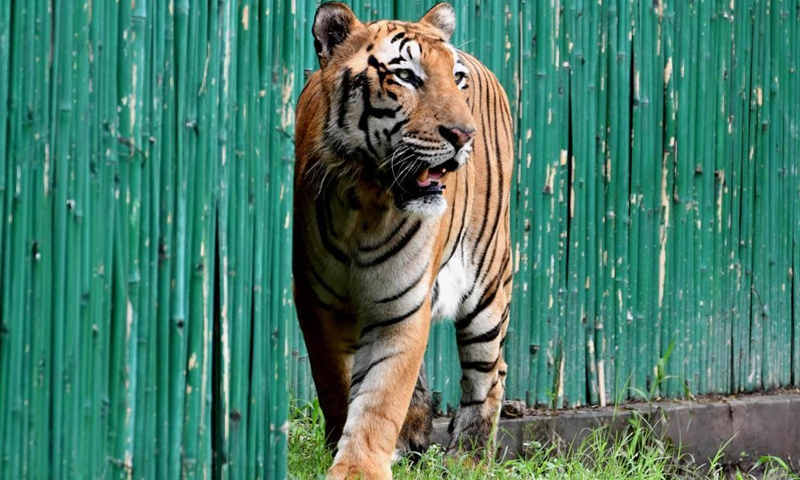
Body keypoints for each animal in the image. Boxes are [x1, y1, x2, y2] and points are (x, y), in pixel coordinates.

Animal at [292, 2, 514, 479]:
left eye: (457, 79)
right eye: (408, 76)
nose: (464, 135)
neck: (367, 199)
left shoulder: (402, 305)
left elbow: (382, 396)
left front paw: (359, 468)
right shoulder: (317, 301)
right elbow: (336, 381)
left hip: (488, 285)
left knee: (490, 371)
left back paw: (468, 456)